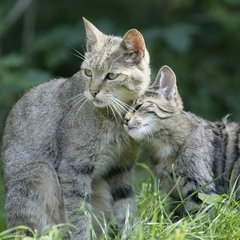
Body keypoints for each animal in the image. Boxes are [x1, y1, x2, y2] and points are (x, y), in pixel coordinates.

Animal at [2, 17, 150, 239]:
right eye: (88, 72)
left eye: (111, 76)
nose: (93, 91)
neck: (116, 118)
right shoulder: (73, 169)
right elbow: (79, 215)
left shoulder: (121, 167)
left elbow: (127, 207)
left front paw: (132, 233)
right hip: (41, 171)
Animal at [123, 65, 240, 216]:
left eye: (138, 107)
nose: (124, 120)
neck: (163, 145)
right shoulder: (174, 192)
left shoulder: (199, 188)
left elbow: (198, 216)